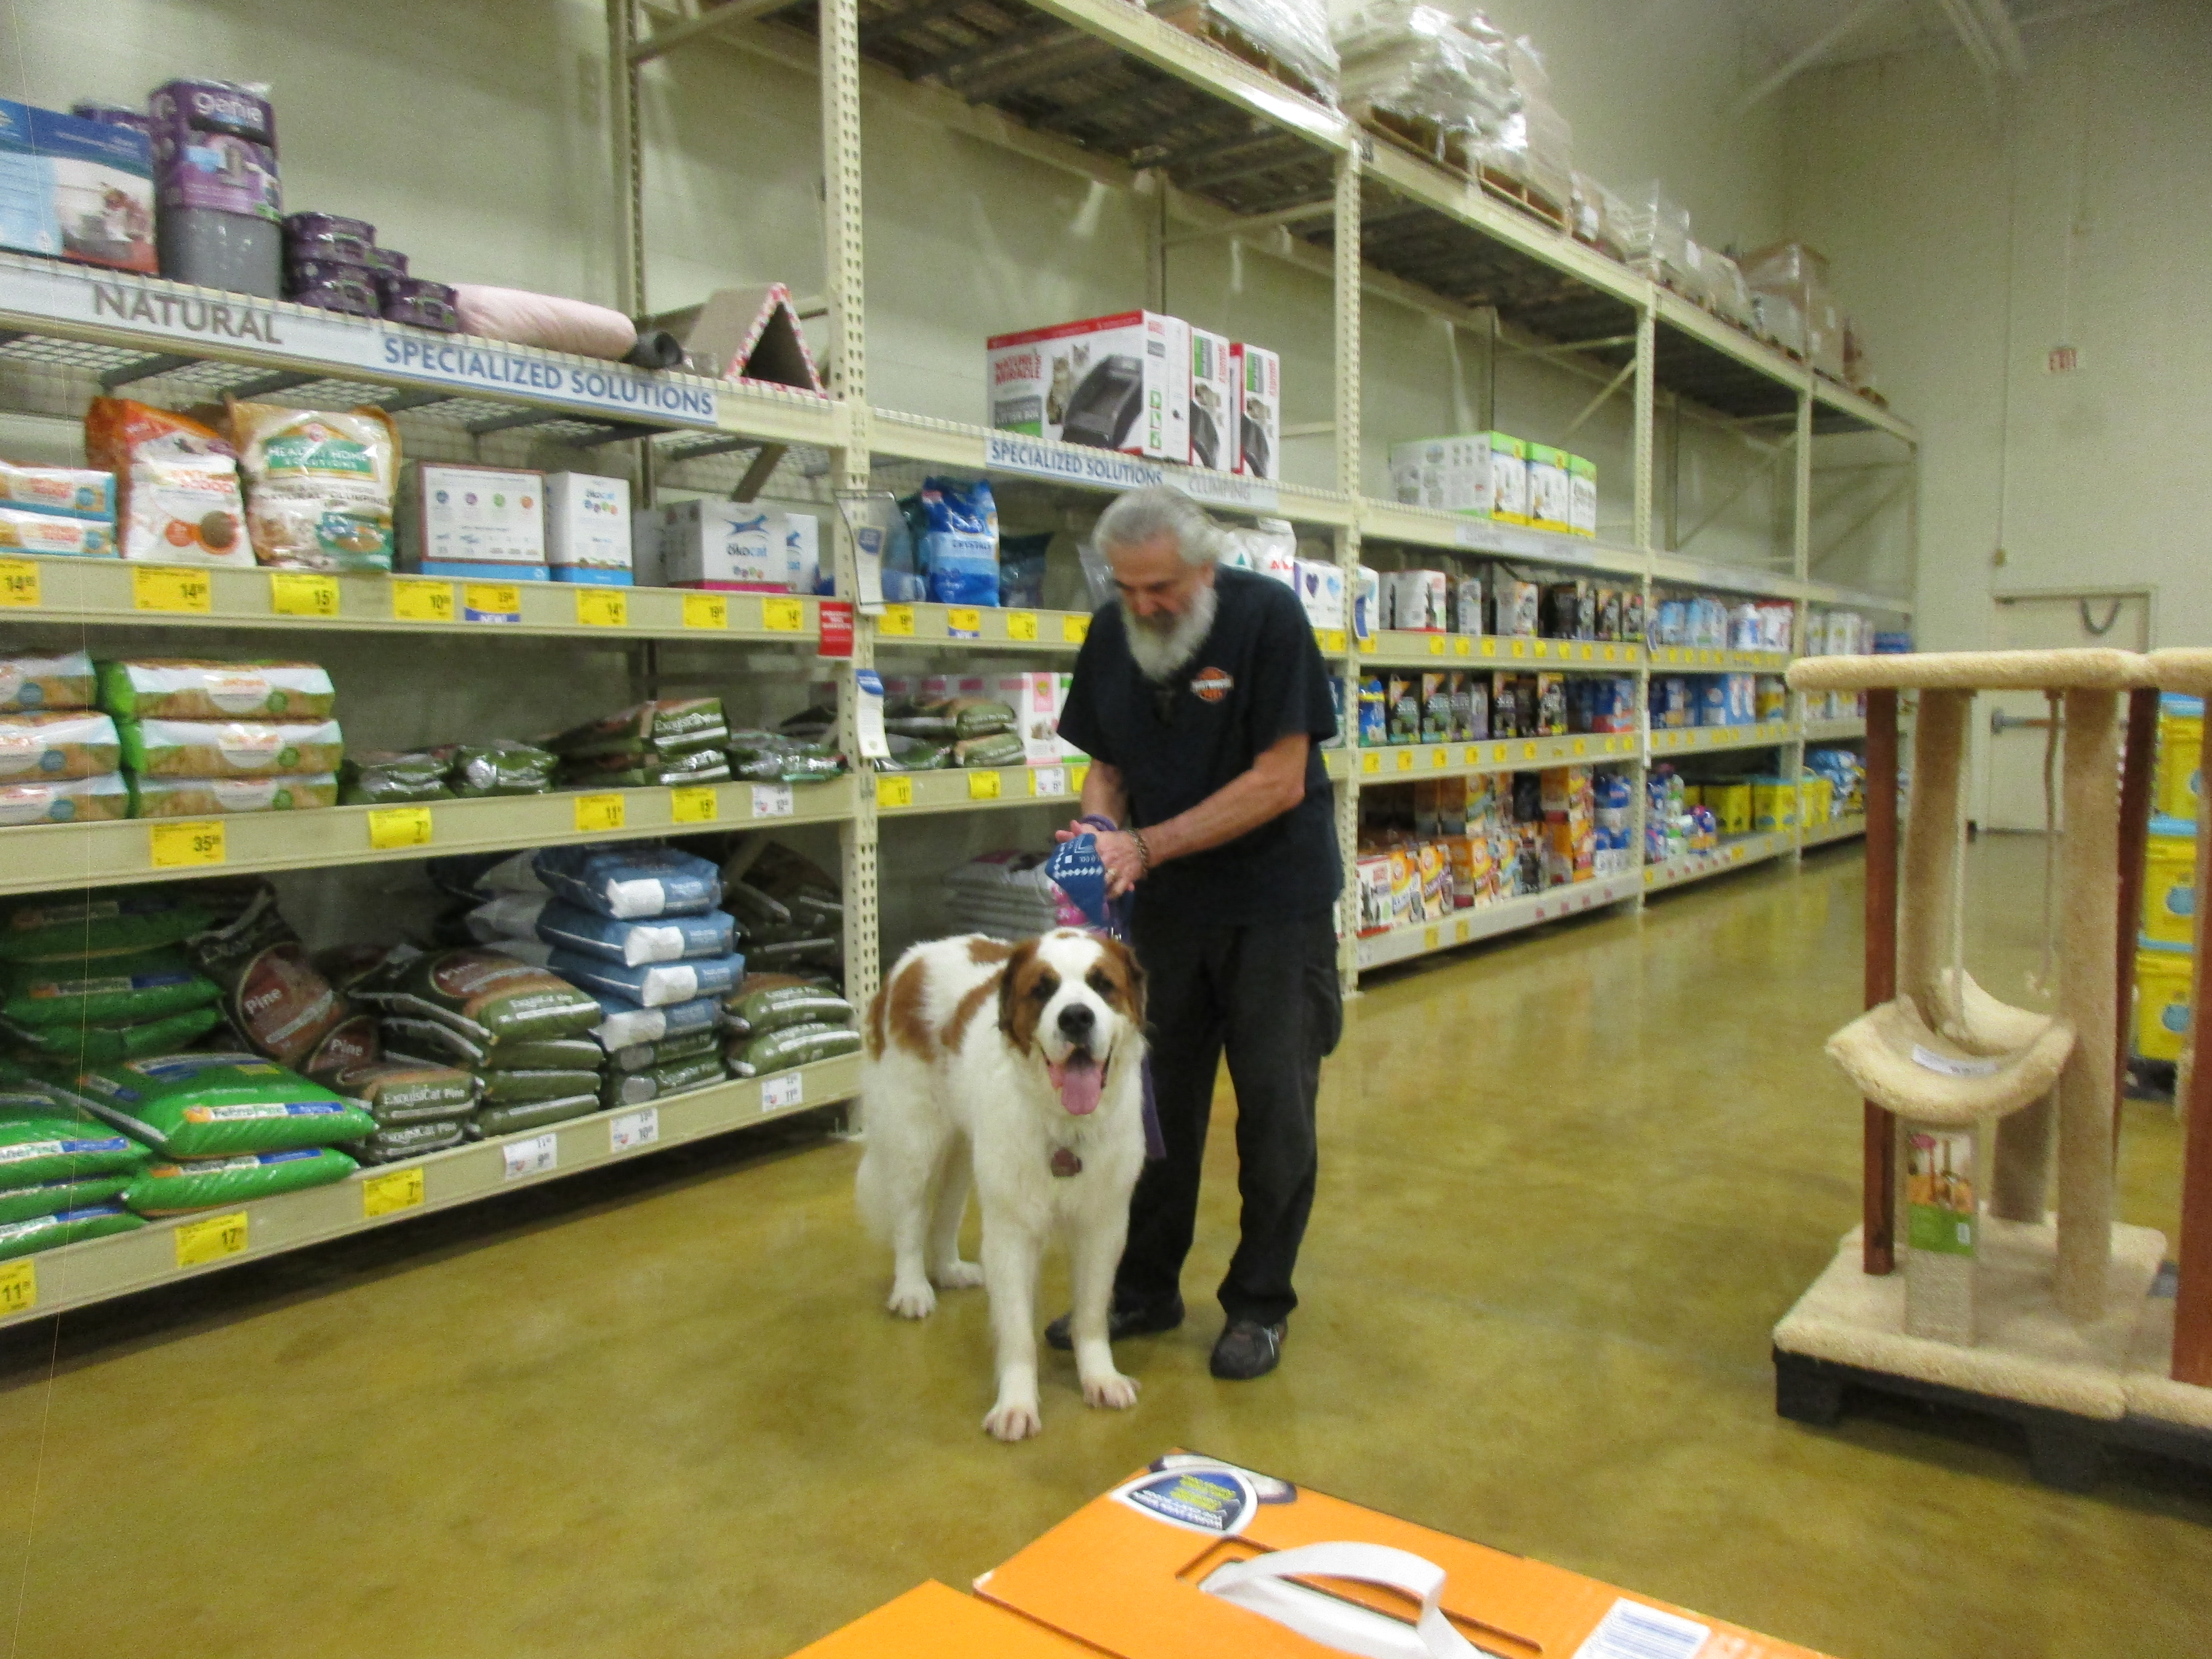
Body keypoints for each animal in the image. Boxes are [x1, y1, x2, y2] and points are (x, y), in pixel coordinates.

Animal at [856, 928, 1148, 1442]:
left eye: (1102, 985)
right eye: (1043, 990)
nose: (1076, 1017)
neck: (1062, 1124)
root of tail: (912, 958)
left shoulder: (1103, 1226)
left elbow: (1092, 1314)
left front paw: (1100, 1378)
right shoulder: (1012, 1233)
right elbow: (1016, 1331)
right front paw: (1016, 1405)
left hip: (963, 1150)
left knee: (945, 1214)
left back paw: (950, 1269)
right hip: (916, 1140)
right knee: (910, 1220)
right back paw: (912, 1289)